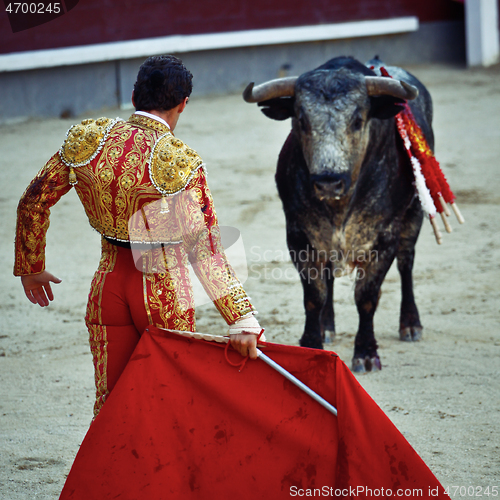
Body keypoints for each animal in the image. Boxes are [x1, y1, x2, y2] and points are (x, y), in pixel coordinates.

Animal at [243, 57, 434, 372]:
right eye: (302, 120)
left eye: (357, 120)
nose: (328, 181)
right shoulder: (299, 235)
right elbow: (314, 295)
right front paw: (312, 342)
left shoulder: (384, 238)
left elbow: (366, 297)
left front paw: (366, 352)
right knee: (329, 277)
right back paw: (327, 327)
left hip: (415, 212)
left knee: (407, 263)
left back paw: (411, 324)